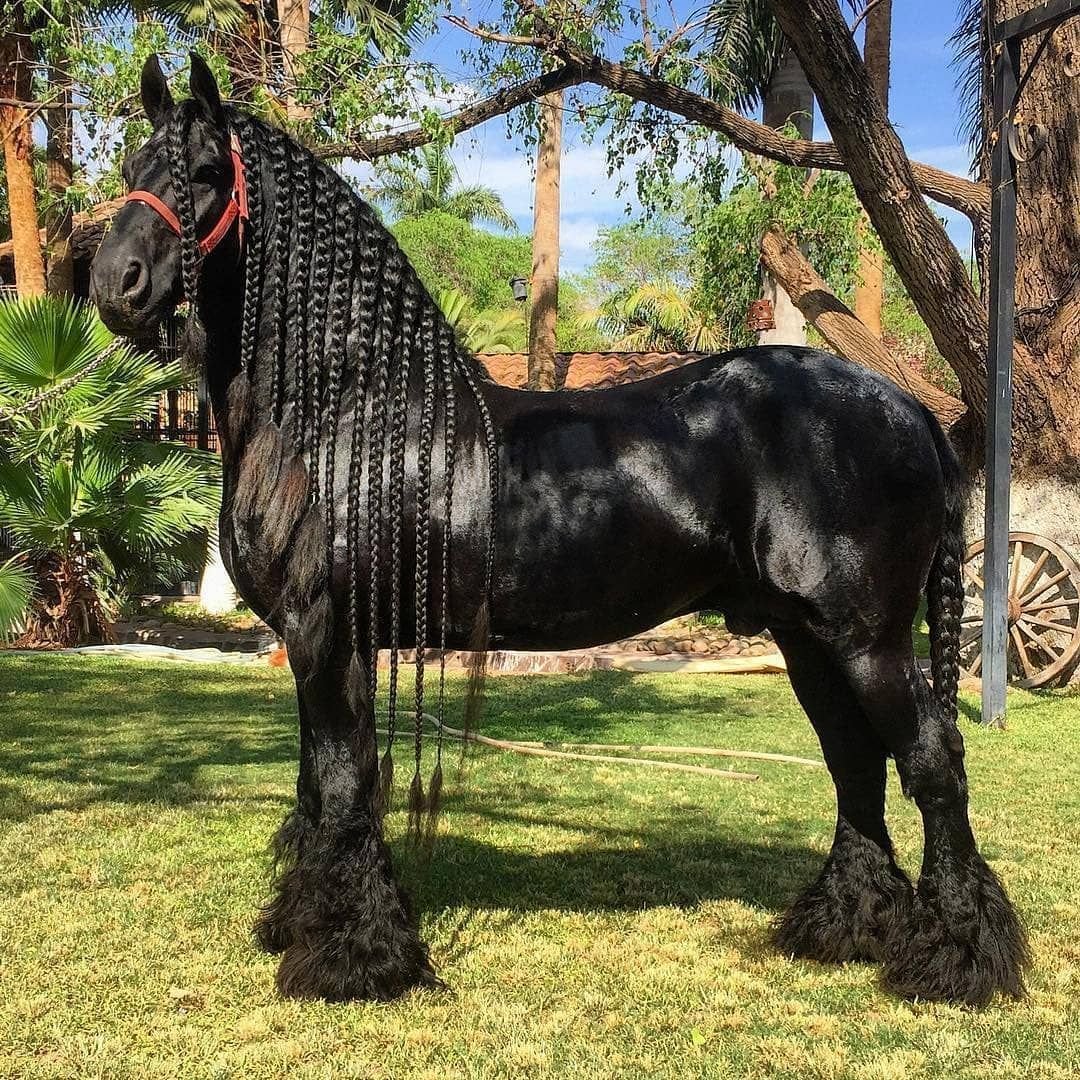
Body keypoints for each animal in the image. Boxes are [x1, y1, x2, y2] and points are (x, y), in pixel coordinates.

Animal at [90, 53, 1029, 1007]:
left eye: (208, 172)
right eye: (131, 166)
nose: (113, 284)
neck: (351, 412)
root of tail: (908, 408)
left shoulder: (330, 633)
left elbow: (345, 782)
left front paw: (353, 956)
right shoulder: (321, 641)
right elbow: (320, 782)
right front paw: (308, 924)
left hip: (866, 639)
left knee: (931, 763)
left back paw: (956, 957)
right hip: (809, 641)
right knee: (855, 765)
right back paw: (845, 929)